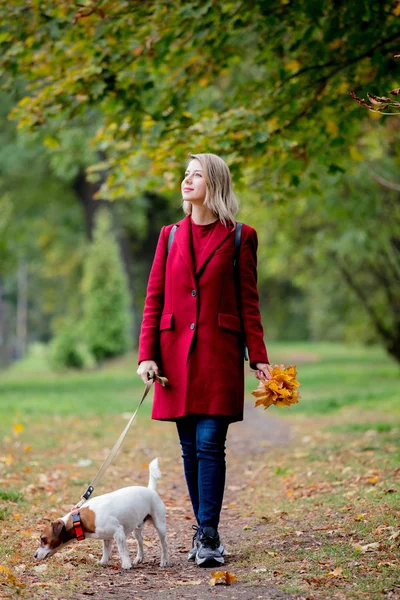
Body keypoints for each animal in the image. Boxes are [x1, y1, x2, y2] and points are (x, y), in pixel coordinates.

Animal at [34, 458, 170, 568]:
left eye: (43, 539)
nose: (34, 555)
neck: (79, 519)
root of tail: (150, 490)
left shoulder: (118, 533)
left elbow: (122, 551)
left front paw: (126, 564)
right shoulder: (106, 538)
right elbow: (105, 551)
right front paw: (103, 562)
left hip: (160, 525)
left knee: (164, 544)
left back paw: (164, 561)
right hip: (136, 528)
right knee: (140, 541)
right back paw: (139, 557)